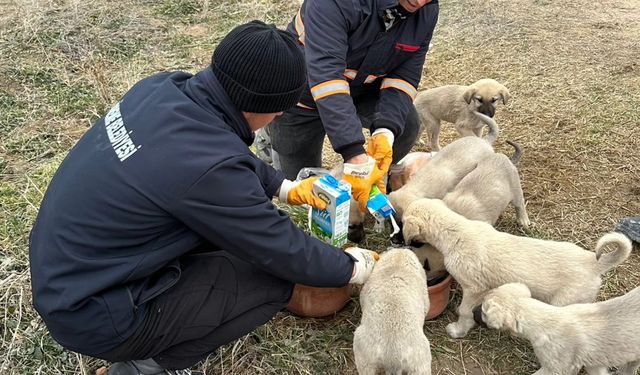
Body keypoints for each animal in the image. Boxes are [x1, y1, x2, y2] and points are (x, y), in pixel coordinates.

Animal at [402, 200, 632, 340]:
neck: (456, 231)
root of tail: (593, 262)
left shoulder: (473, 288)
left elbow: (464, 311)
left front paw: (458, 330)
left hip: (564, 300)